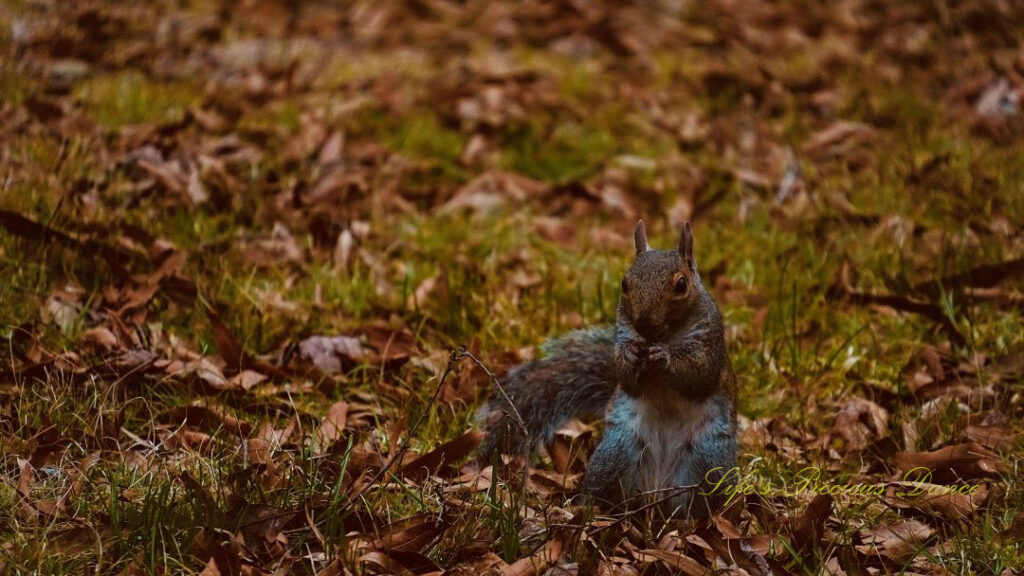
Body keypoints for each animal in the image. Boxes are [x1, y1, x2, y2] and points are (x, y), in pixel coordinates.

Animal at [479, 219, 737, 516]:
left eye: (681, 284)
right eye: (625, 282)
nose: (644, 324)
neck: (664, 336)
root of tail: (657, 488)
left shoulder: (710, 341)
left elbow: (700, 376)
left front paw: (665, 357)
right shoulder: (624, 332)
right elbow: (627, 380)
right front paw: (630, 356)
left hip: (709, 462)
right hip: (616, 451)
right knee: (603, 490)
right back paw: (590, 508)